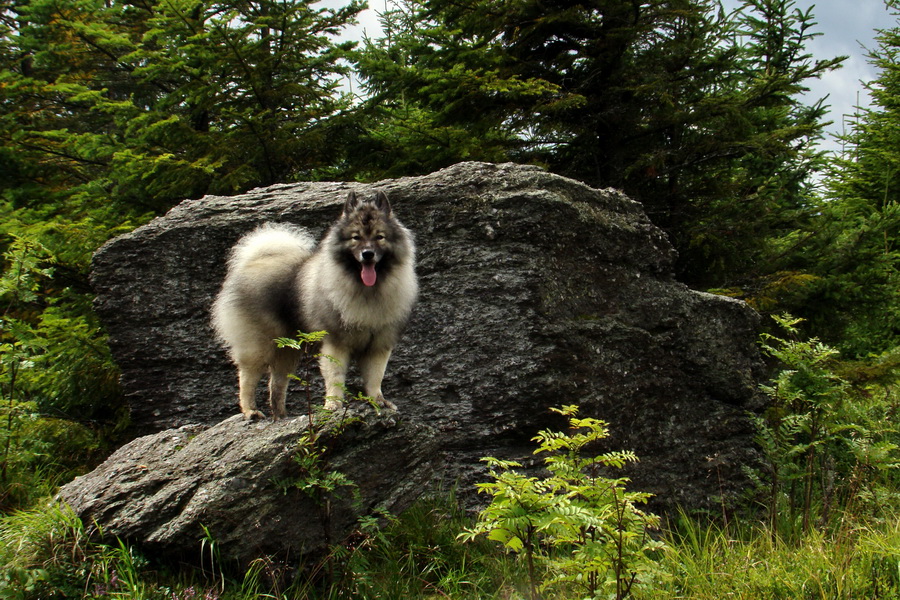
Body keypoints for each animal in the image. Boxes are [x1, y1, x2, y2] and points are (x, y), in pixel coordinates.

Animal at [211, 191, 418, 418]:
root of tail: (254, 262)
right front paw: (333, 406)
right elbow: (335, 377)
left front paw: (378, 401)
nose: (368, 254)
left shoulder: (378, 345)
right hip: (259, 345)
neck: (367, 291)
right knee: (247, 378)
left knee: (277, 382)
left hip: (288, 349)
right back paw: (251, 411)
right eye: (356, 237)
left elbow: (375, 378)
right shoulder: (336, 343)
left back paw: (281, 416)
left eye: (379, 237)